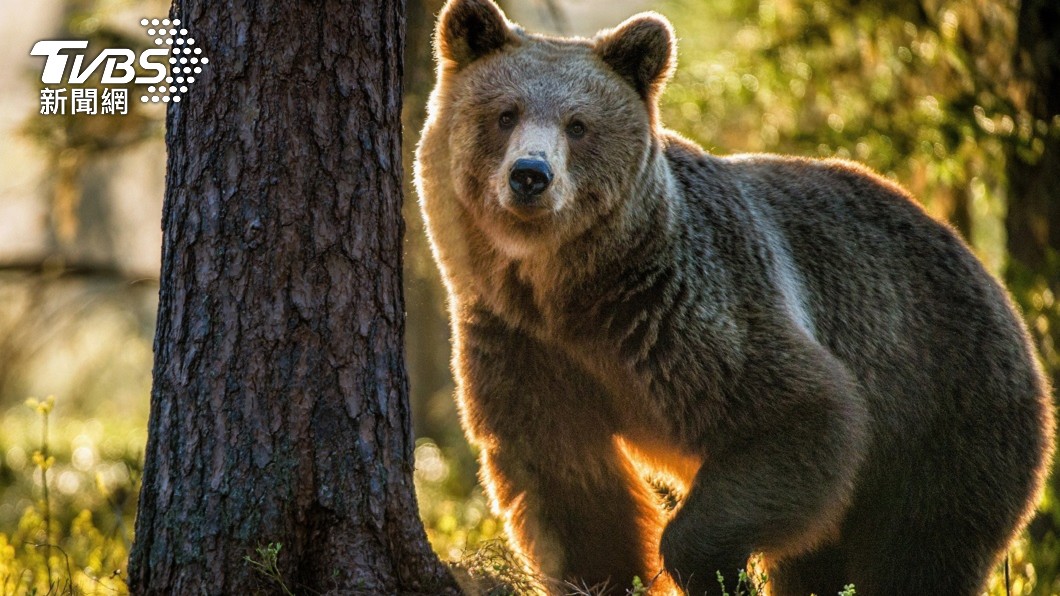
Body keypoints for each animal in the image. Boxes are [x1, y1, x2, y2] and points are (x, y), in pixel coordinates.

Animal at [414, 1, 1056, 594]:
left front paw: (710, 567)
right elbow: (567, 486)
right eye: (505, 113)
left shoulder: (685, 312)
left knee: (918, 550)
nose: (530, 174)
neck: (569, 290)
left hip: (942, 410)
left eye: (578, 124)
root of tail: (992, 281)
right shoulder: (523, 343)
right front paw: (605, 574)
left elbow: (801, 413)